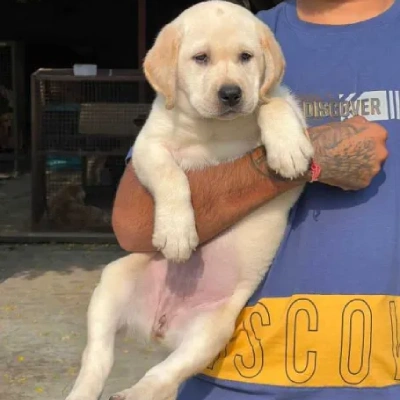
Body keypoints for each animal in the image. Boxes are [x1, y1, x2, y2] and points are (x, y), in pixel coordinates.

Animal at [65, 0, 314, 400]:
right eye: (201, 58)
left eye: (246, 57)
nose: (231, 93)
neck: (214, 129)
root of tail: (160, 324)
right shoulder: (149, 147)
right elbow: (173, 177)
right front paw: (178, 233)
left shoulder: (286, 105)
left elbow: (272, 103)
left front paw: (288, 149)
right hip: (113, 282)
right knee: (97, 358)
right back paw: (88, 390)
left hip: (211, 331)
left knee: (164, 374)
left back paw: (136, 392)